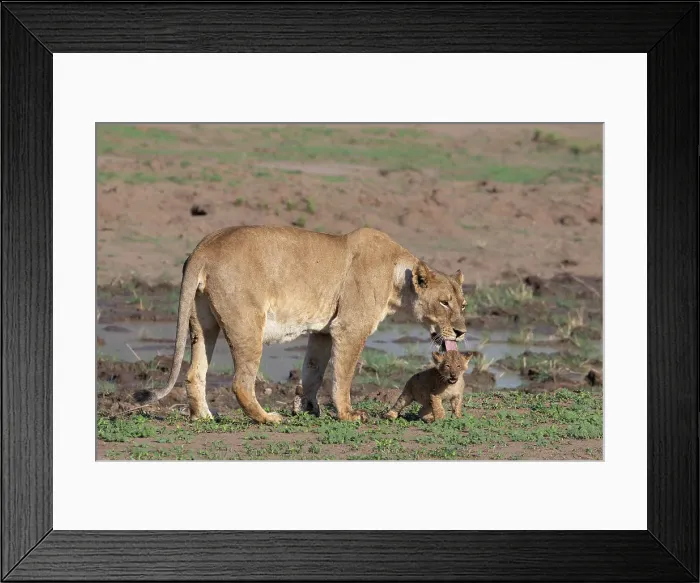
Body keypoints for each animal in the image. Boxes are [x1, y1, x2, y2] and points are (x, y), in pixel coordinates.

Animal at [134, 225, 467, 424]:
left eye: (462, 305)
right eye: (444, 303)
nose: (462, 332)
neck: (399, 279)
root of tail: (204, 246)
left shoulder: (323, 331)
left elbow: (313, 371)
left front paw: (306, 408)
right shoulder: (349, 329)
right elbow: (342, 377)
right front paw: (347, 414)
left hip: (203, 324)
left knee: (194, 373)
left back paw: (204, 416)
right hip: (247, 324)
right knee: (241, 382)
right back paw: (267, 418)